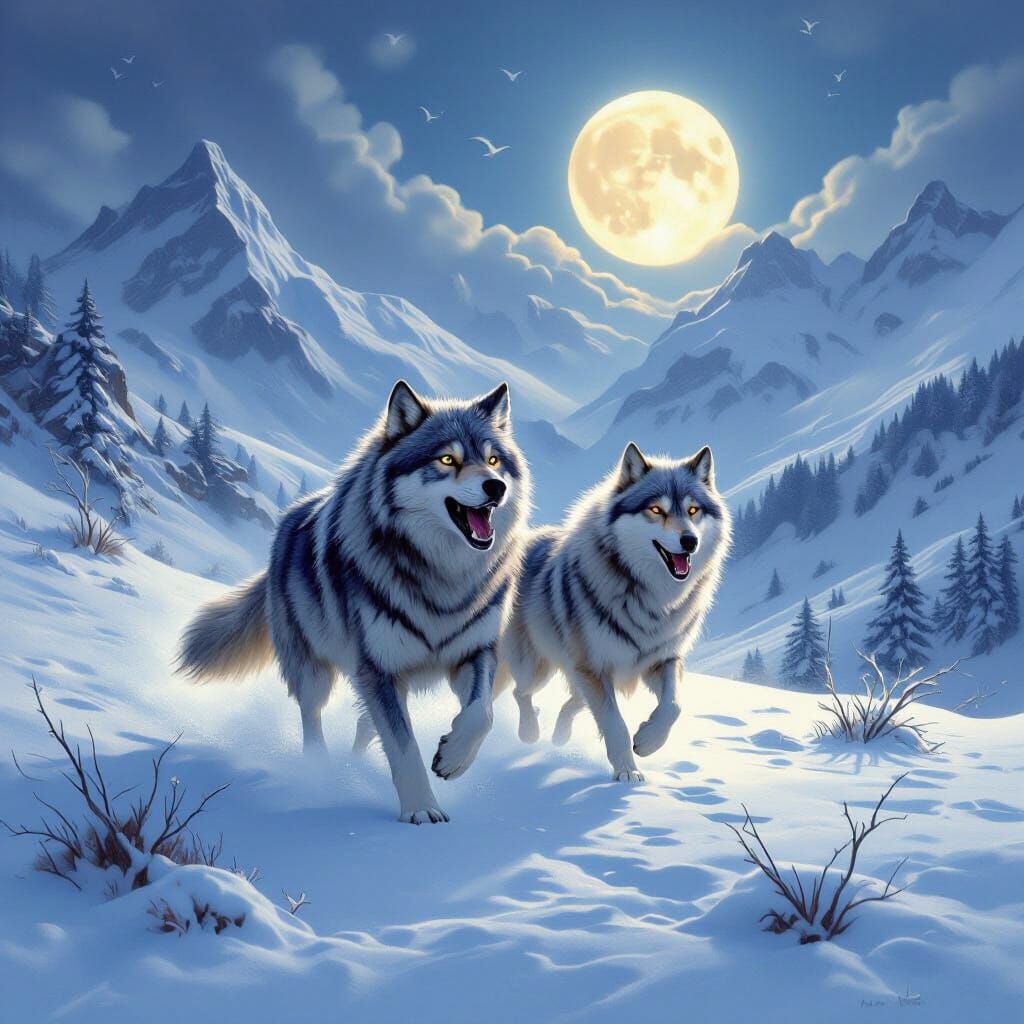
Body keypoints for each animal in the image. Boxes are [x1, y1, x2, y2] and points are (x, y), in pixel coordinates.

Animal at [178, 380, 530, 824]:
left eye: (493, 460)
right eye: (447, 459)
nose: (496, 487)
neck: (443, 577)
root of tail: (289, 519)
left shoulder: (474, 653)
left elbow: (481, 714)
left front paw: (452, 758)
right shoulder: (378, 669)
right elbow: (404, 747)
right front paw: (421, 809)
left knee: (366, 727)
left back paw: (356, 764)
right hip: (315, 672)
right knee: (313, 721)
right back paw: (322, 773)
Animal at [500, 442, 730, 780]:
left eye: (692, 511)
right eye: (656, 510)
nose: (690, 541)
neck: (652, 598)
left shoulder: (662, 660)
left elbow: (673, 706)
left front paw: (647, 742)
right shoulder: (596, 668)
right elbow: (615, 724)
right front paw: (627, 773)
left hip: (578, 676)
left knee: (569, 703)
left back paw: (559, 737)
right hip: (537, 669)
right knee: (522, 693)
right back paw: (529, 733)